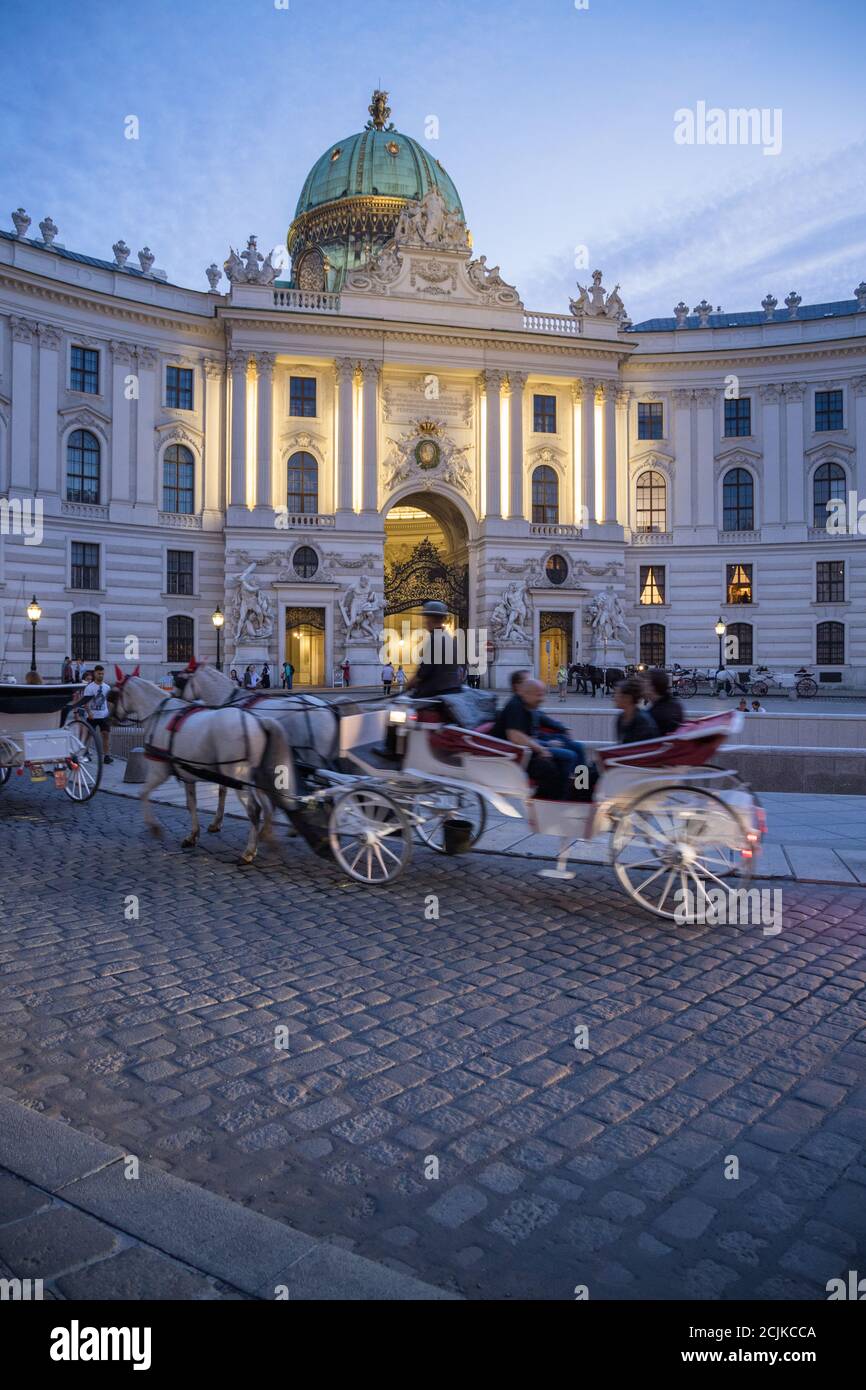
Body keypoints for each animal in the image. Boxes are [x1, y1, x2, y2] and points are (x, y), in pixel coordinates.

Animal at [111, 669, 297, 861]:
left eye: (114, 694)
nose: (112, 718)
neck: (160, 715)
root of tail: (260, 721)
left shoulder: (159, 771)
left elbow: (143, 792)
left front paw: (154, 828)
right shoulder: (187, 775)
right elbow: (191, 804)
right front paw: (192, 835)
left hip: (238, 776)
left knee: (255, 809)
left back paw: (249, 851)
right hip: (256, 776)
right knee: (267, 806)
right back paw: (266, 837)